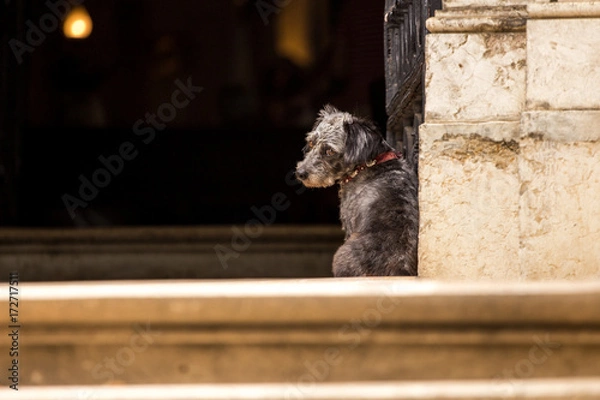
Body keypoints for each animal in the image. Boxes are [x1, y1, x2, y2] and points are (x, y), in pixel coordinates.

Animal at [294, 104, 418, 276]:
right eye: (311, 143)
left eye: (330, 151)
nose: (301, 173)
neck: (368, 164)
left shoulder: (348, 221)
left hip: (341, 256)